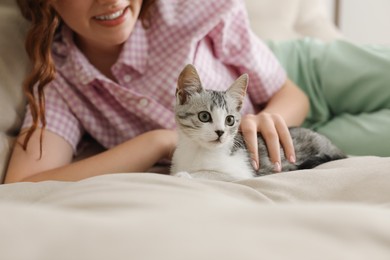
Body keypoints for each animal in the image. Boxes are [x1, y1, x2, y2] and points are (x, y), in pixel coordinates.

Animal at [169, 64, 346, 181]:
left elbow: (211, 174)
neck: (197, 150)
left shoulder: (241, 174)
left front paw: (185, 175)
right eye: (204, 116)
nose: (220, 132)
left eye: (229, 120)